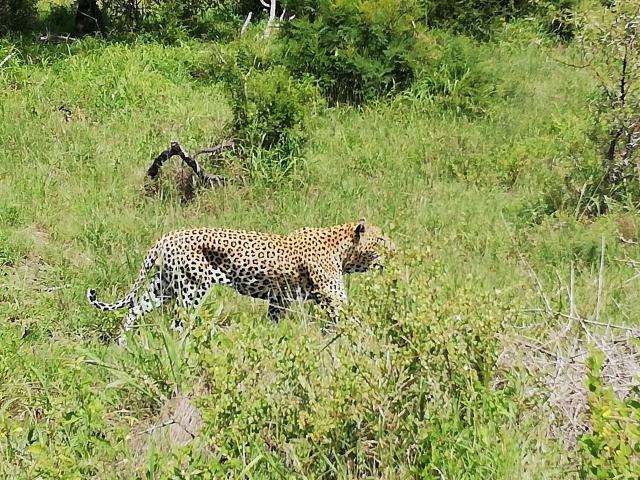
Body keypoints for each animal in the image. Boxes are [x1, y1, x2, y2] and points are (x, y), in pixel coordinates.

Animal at [86, 219, 396, 344]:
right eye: (380, 239)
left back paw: (121, 344)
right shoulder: (334, 295)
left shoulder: (279, 300)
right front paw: (372, 340)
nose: (395, 248)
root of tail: (167, 236)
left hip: (163, 287)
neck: (343, 250)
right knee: (177, 325)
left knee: (133, 310)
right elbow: (354, 319)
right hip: (191, 288)